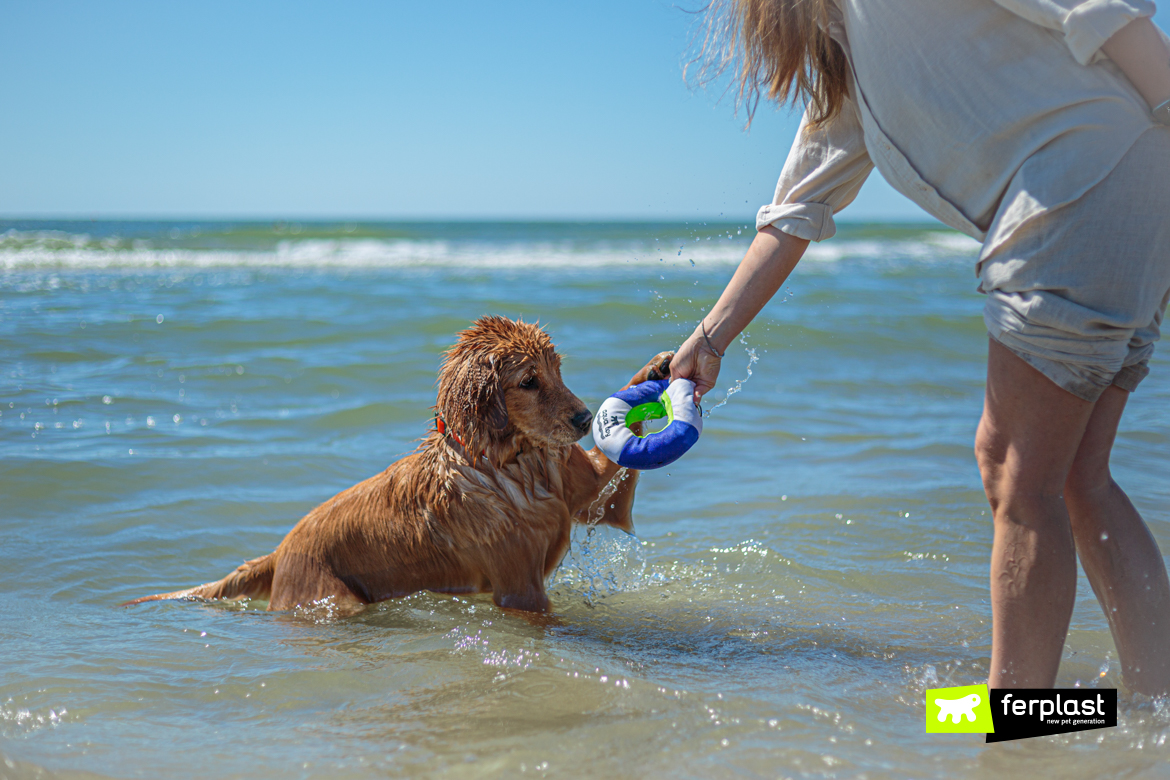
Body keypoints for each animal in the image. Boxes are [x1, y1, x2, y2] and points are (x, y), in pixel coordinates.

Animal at [124, 318, 673, 617]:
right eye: (528, 381)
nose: (582, 418)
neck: (511, 464)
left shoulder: (589, 493)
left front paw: (659, 367)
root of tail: (280, 550)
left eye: (557, 370)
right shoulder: (520, 586)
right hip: (332, 596)